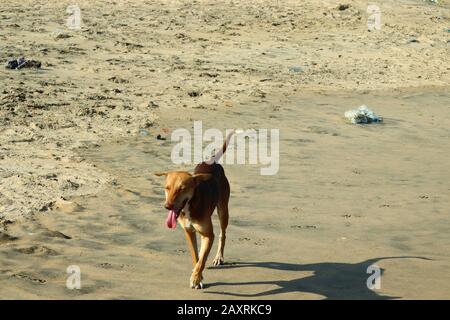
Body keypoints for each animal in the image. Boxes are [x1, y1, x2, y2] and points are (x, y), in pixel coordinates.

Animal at [155, 131, 234, 288]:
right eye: (167, 188)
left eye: (182, 189)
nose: (167, 206)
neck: (189, 207)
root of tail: (212, 161)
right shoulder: (189, 232)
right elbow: (196, 257)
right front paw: (198, 274)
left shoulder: (208, 235)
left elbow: (202, 259)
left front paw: (196, 278)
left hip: (223, 210)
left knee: (222, 234)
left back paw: (219, 257)